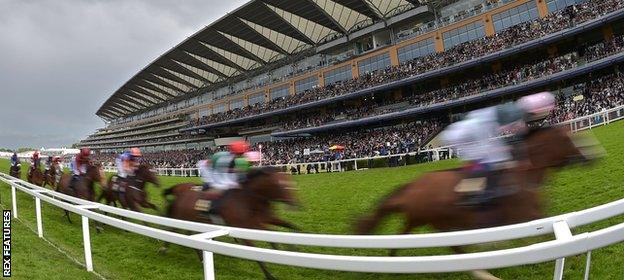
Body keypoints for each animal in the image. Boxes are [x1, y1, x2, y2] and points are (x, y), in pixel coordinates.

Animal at [160, 167, 298, 278]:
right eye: (280, 184)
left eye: (290, 182)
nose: (295, 204)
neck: (246, 200)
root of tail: (180, 193)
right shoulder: (245, 228)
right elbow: (256, 251)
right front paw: (269, 275)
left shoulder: (261, 221)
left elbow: (285, 229)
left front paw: (289, 248)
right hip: (182, 218)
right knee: (174, 231)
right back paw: (166, 249)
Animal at [356, 126, 600, 280]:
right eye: (568, 140)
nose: (592, 157)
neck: (523, 172)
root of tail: (413, 185)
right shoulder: (527, 215)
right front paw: (577, 254)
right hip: (424, 217)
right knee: (405, 234)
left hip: (438, 221)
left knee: (447, 244)